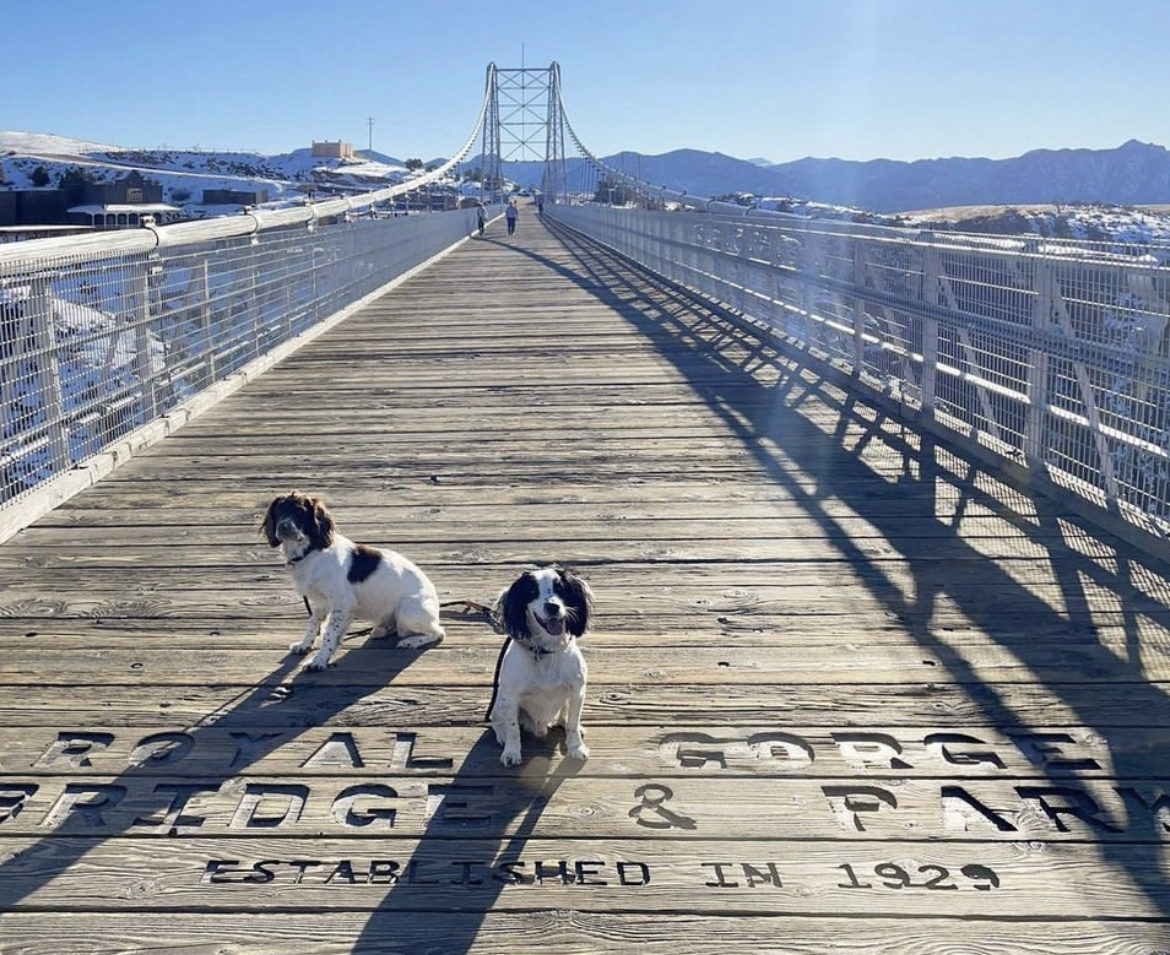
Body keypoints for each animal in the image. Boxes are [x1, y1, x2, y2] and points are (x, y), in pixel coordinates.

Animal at [260, 491, 442, 669]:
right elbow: (313, 622)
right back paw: (381, 630)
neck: (311, 551)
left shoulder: (342, 603)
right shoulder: (323, 602)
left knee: (437, 632)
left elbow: (329, 633)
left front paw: (319, 661)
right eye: (279, 510)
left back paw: (410, 642)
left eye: (300, 511)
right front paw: (304, 645)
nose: (283, 527)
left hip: (407, 612)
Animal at [486, 566, 594, 767]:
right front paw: (511, 753)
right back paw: (502, 736)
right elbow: (513, 728)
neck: (545, 651)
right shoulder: (510, 697)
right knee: (498, 721)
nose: (552, 606)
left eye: (560, 588)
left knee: (565, 718)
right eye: (532, 592)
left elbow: (573, 723)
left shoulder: (577, 691)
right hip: (499, 702)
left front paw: (576, 747)